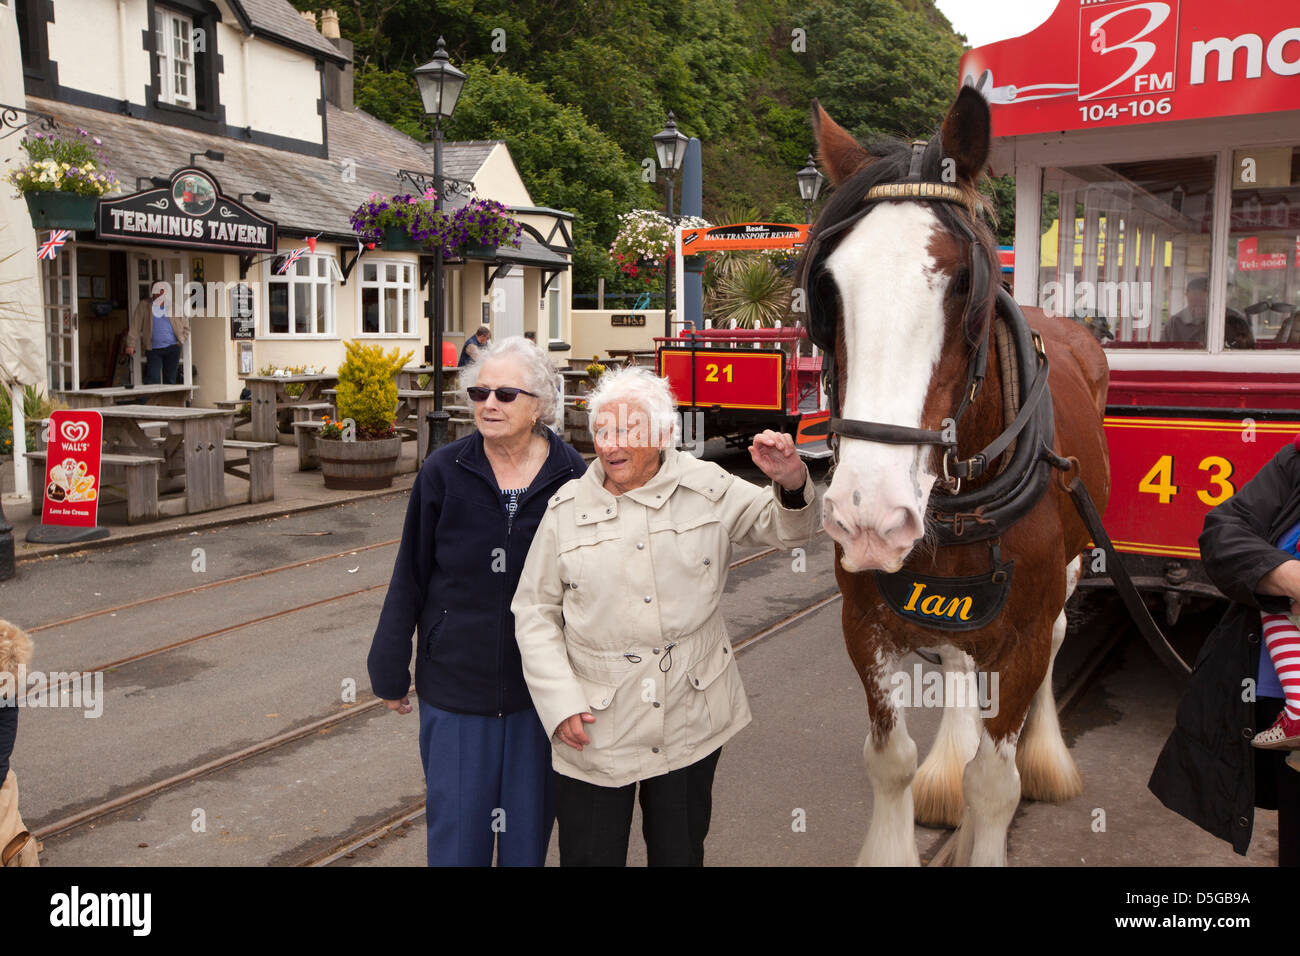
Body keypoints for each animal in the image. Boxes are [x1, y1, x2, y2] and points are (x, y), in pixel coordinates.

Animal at [806, 89, 1112, 868]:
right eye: (828, 286)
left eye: (967, 285)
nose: (868, 516)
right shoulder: (866, 621)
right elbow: (890, 761)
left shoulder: (1024, 632)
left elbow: (995, 785)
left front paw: (1000, 791)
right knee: (956, 659)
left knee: (1056, 640)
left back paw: (1046, 756)